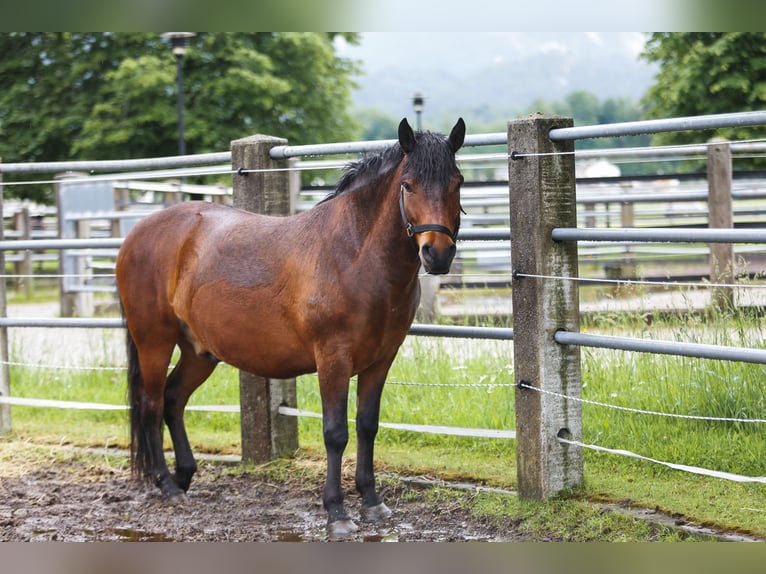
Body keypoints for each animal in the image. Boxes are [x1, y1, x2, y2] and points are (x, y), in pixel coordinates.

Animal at [116, 117, 464, 536]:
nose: (438, 253)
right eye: (408, 184)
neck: (352, 255)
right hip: (154, 341)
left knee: (172, 399)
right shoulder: (333, 359)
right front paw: (336, 512)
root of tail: (138, 233)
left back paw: (184, 475)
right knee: (150, 405)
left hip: (199, 351)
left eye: (457, 181)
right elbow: (335, 433)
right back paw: (167, 485)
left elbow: (367, 425)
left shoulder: (381, 359)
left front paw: (372, 501)